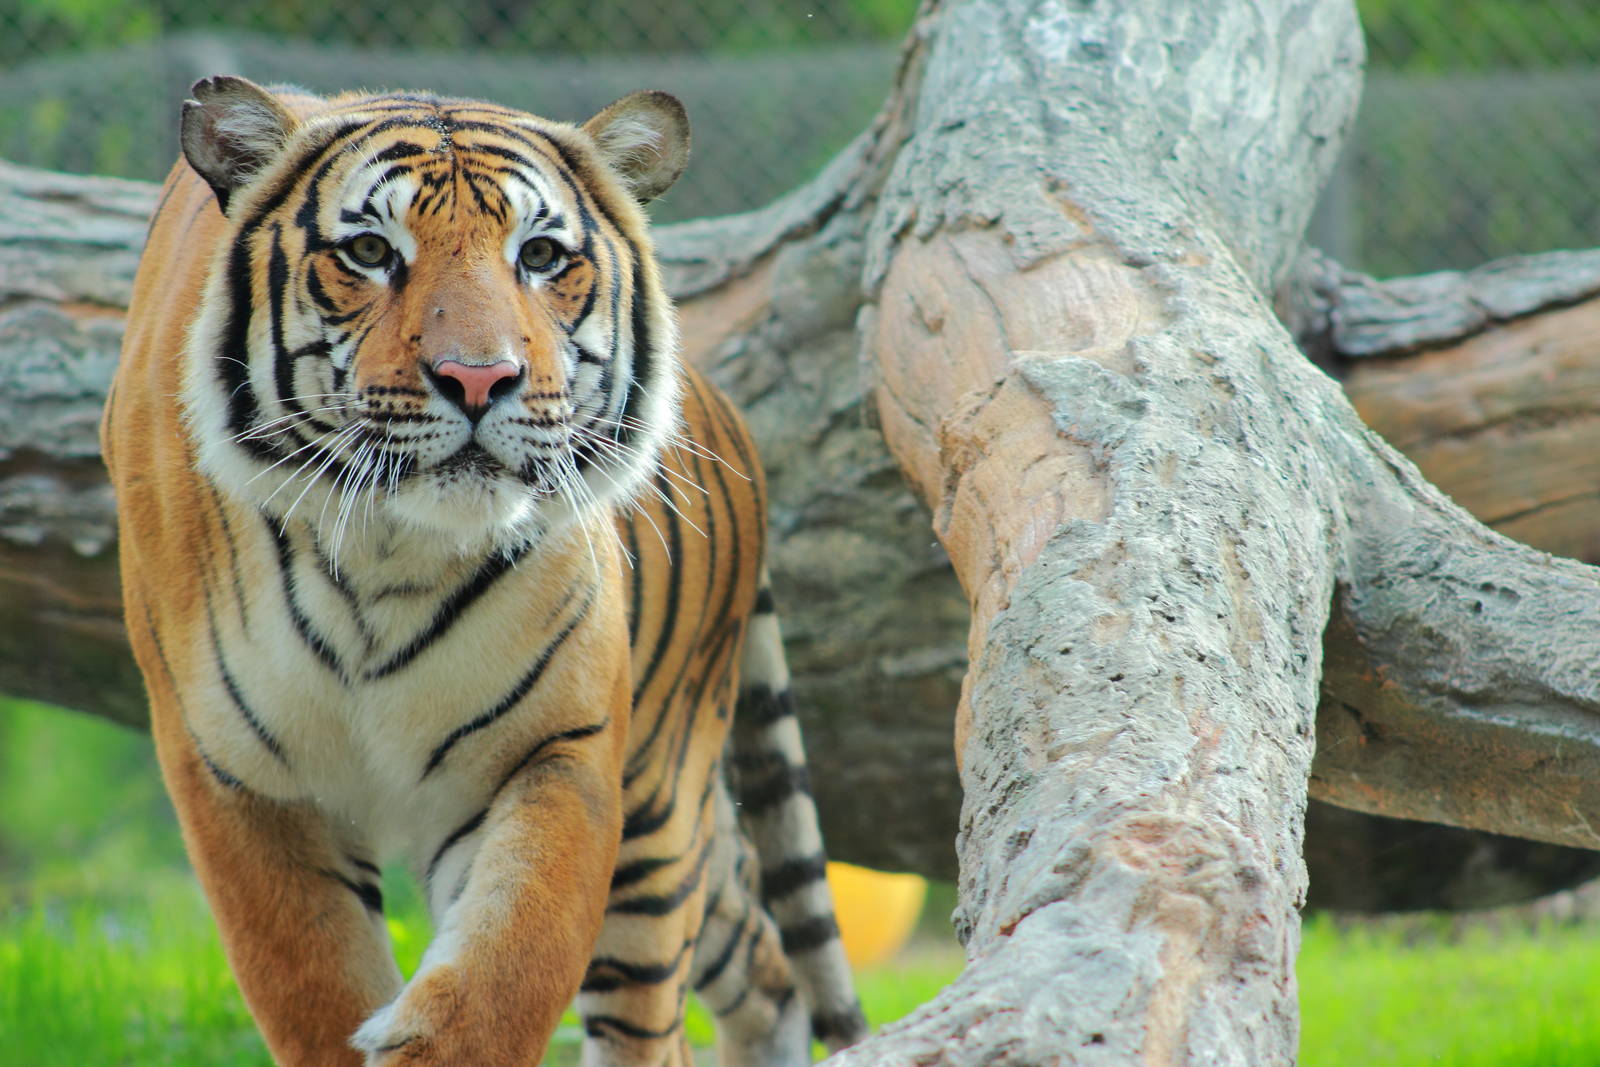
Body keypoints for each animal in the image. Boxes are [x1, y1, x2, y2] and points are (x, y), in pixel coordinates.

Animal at [100, 75, 867, 1066]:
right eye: (370, 251)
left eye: (539, 255)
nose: (478, 378)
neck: (387, 559)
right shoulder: (237, 776)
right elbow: (312, 984)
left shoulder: (558, 748)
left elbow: (508, 967)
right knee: (766, 962)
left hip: (660, 810)